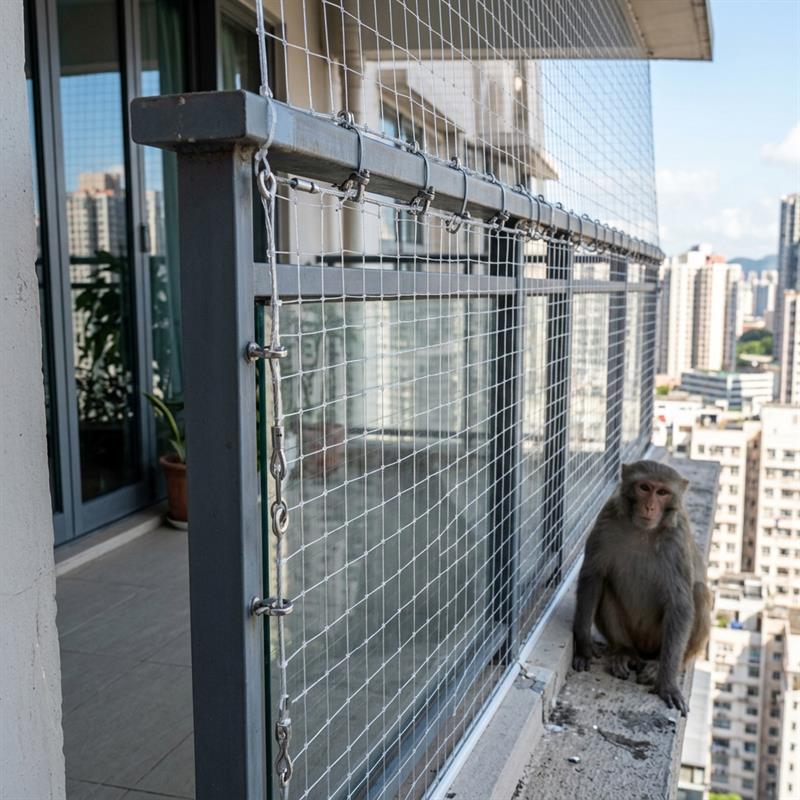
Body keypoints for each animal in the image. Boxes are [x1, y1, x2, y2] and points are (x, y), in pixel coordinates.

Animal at [571, 460, 711, 715]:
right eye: (644, 487)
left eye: (663, 492)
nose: (650, 506)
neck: (642, 531)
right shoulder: (607, 518)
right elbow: (593, 576)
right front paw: (584, 646)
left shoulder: (676, 538)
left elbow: (680, 604)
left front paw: (667, 684)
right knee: (606, 587)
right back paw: (624, 652)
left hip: (659, 642)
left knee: (699, 594)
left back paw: (660, 666)